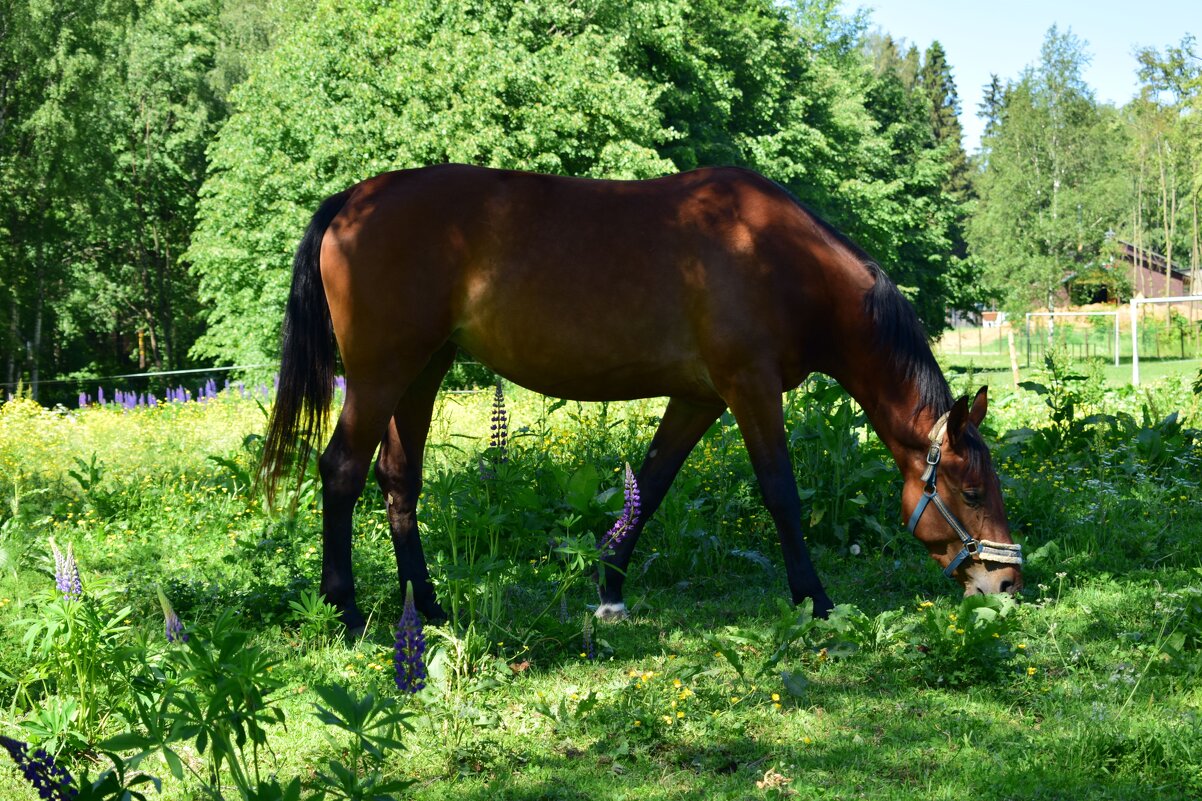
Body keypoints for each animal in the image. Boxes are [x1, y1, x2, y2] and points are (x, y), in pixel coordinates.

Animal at [258, 163, 1019, 630]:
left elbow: (649, 488)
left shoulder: (698, 399)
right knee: (342, 471)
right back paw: (345, 610)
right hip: (382, 372)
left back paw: (430, 607)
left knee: (399, 481)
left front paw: (608, 587)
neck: (777, 256)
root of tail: (352, 201)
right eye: (971, 491)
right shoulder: (750, 389)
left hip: (421, 372)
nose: (1007, 583)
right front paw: (815, 598)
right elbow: (781, 493)